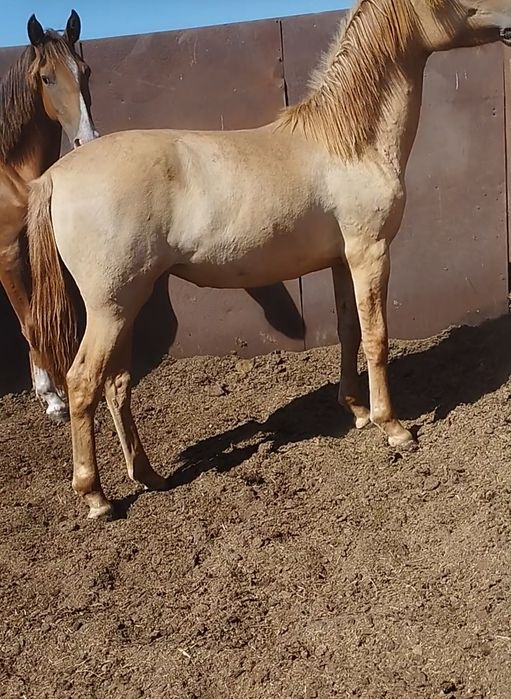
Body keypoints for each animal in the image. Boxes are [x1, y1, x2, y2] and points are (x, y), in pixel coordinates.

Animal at [27, 0, 511, 519]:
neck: (350, 143)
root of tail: (56, 175)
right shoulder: (370, 252)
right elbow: (377, 336)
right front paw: (393, 427)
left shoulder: (342, 261)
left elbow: (348, 330)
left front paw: (357, 411)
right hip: (110, 308)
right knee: (82, 383)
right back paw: (97, 496)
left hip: (128, 304)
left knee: (117, 383)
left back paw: (150, 475)